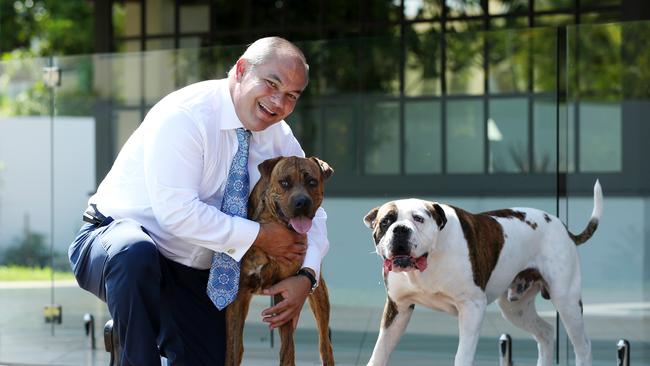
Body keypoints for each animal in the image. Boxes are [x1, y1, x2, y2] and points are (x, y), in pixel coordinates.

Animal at [224, 155, 334, 366]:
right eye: (284, 182)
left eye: (312, 182)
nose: (302, 202)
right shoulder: (238, 297)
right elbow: (232, 348)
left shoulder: (287, 295)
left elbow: (287, 350)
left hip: (319, 296)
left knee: (325, 345)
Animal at [362, 182, 600, 364]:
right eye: (386, 221)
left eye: (419, 218)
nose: (400, 229)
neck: (430, 260)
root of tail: (562, 226)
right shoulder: (398, 308)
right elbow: (379, 351)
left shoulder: (472, 307)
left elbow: (463, 355)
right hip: (515, 309)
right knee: (546, 333)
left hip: (566, 300)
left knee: (584, 345)